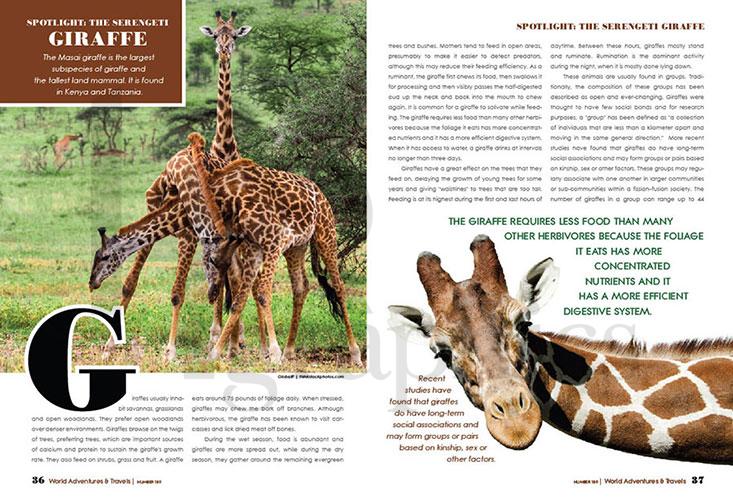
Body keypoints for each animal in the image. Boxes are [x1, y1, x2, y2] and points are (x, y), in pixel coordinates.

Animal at [101, 10, 252, 361]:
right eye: (216, 35)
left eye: (234, 35)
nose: (224, 50)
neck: (224, 148)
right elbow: (143, 282)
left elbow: (209, 286)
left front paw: (209, 343)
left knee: (232, 281)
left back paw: (233, 341)